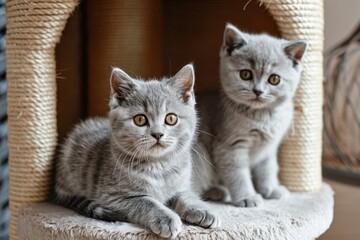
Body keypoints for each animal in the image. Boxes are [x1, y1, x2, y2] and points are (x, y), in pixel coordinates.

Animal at [54, 64, 221, 238]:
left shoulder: (181, 186)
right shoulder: (114, 197)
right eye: (140, 120)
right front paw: (166, 218)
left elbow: (187, 196)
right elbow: (147, 202)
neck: (159, 166)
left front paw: (202, 209)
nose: (158, 134)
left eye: (171, 118)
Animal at [194, 23, 306, 208]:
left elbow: (267, 169)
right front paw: (247, 197)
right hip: (200, 153)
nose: (258, 91)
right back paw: (217, 192)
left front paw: (270, 189)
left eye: (274, 79)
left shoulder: (269, 148)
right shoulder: (229, 147)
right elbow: (238, 174)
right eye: (245, 74)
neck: (263, 117)